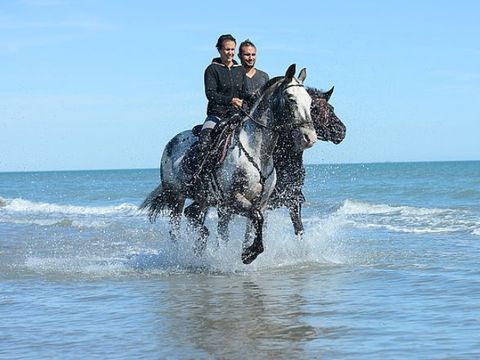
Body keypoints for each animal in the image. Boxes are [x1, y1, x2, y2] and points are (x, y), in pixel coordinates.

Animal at [141, 64, 316, 264]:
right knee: (175, 229)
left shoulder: (261, 202)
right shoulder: (233, 199)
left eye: (310, 101)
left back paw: (200, 245)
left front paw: (247, 251)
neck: (257, 152)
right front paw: (249, 254)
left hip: (202, 198)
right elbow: (257, 218)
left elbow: (253, 226)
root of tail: (171, 142)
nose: (310, 138)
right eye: (291, 99)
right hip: (176, 197)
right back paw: (179, 255)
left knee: (192, 215)